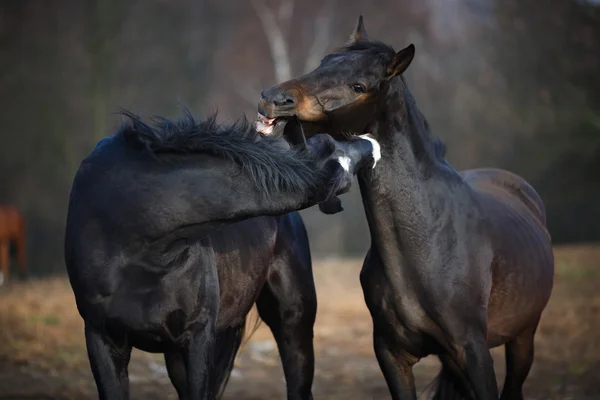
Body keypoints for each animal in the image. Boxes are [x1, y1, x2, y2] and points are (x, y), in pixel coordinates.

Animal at [255, 17, 556, 400]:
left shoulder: (474, 351)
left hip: (522, 338)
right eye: (324, 62)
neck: (427, 243)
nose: (273, 100)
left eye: (359, 85)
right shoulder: (392, 355)